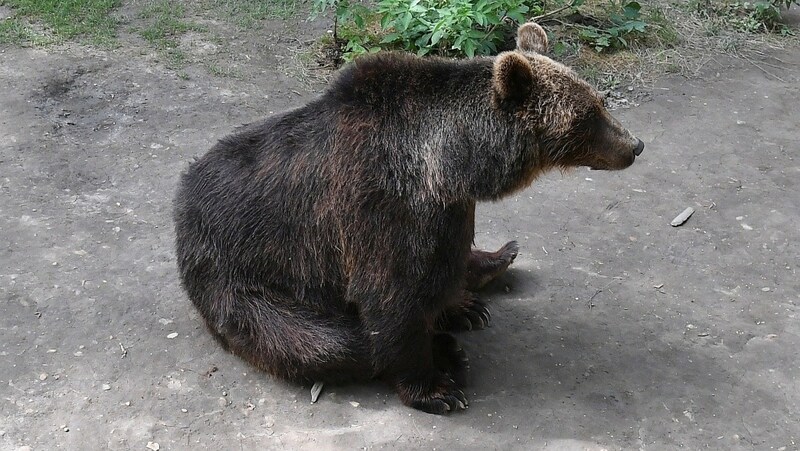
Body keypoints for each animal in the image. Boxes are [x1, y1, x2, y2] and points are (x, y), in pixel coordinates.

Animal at [173, 23, 644, 414]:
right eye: (587, 117)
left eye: (600, 101)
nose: (635, 145)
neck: (451, 163)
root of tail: (181, 204)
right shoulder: (381, 205)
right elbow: (391, 297)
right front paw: (436, 388)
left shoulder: (449, 209)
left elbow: (447, 261)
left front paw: (463, 304)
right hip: (242, 279)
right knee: (320, 342)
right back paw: (448, 351)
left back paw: (494, 267)